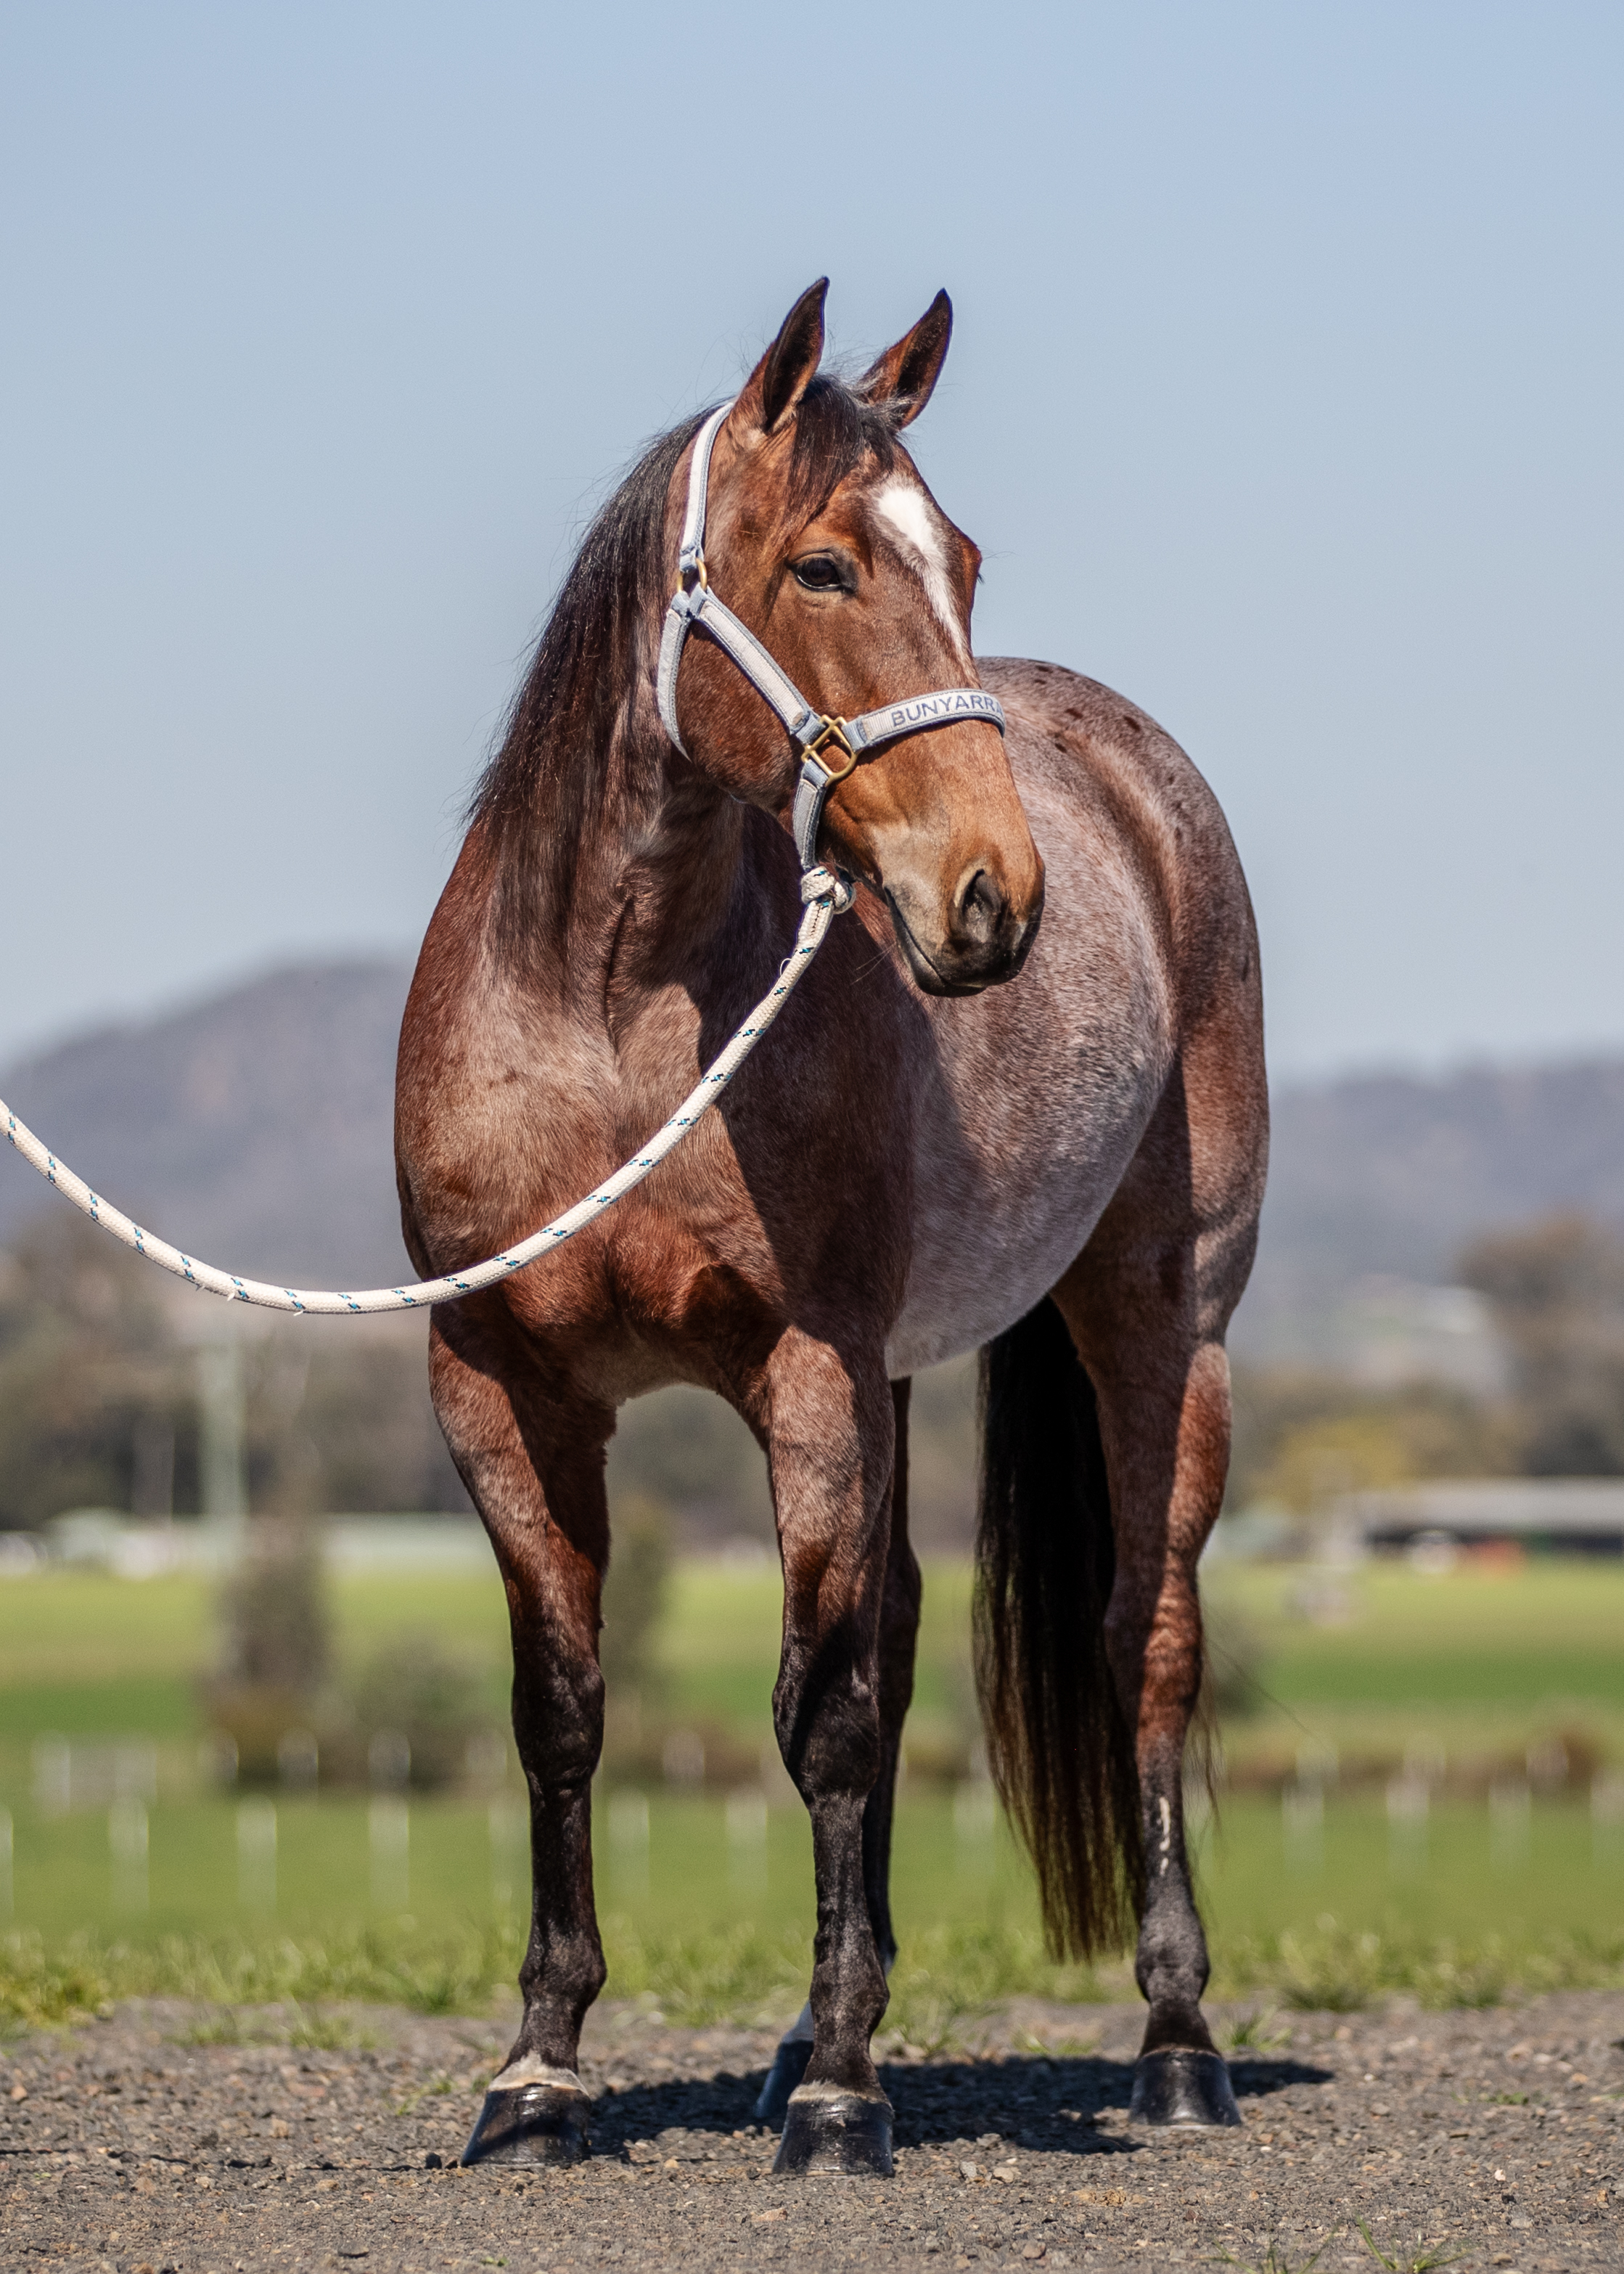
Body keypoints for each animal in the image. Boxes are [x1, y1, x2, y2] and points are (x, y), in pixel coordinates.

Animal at [394, 279, 1268, 2177]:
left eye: (962, 557)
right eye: (820, 567)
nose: (992, 901)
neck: (611, 1020)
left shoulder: (804, 1371)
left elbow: (831, 1715)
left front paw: (849, 2095)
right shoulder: (498, 1384)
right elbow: (562, 1707)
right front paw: (540, 2068)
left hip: (1161, 1324)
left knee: (1146, 1640)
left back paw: (1174, 2040)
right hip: (894, 1380)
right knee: (917, 1622)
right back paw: (810, 2028)